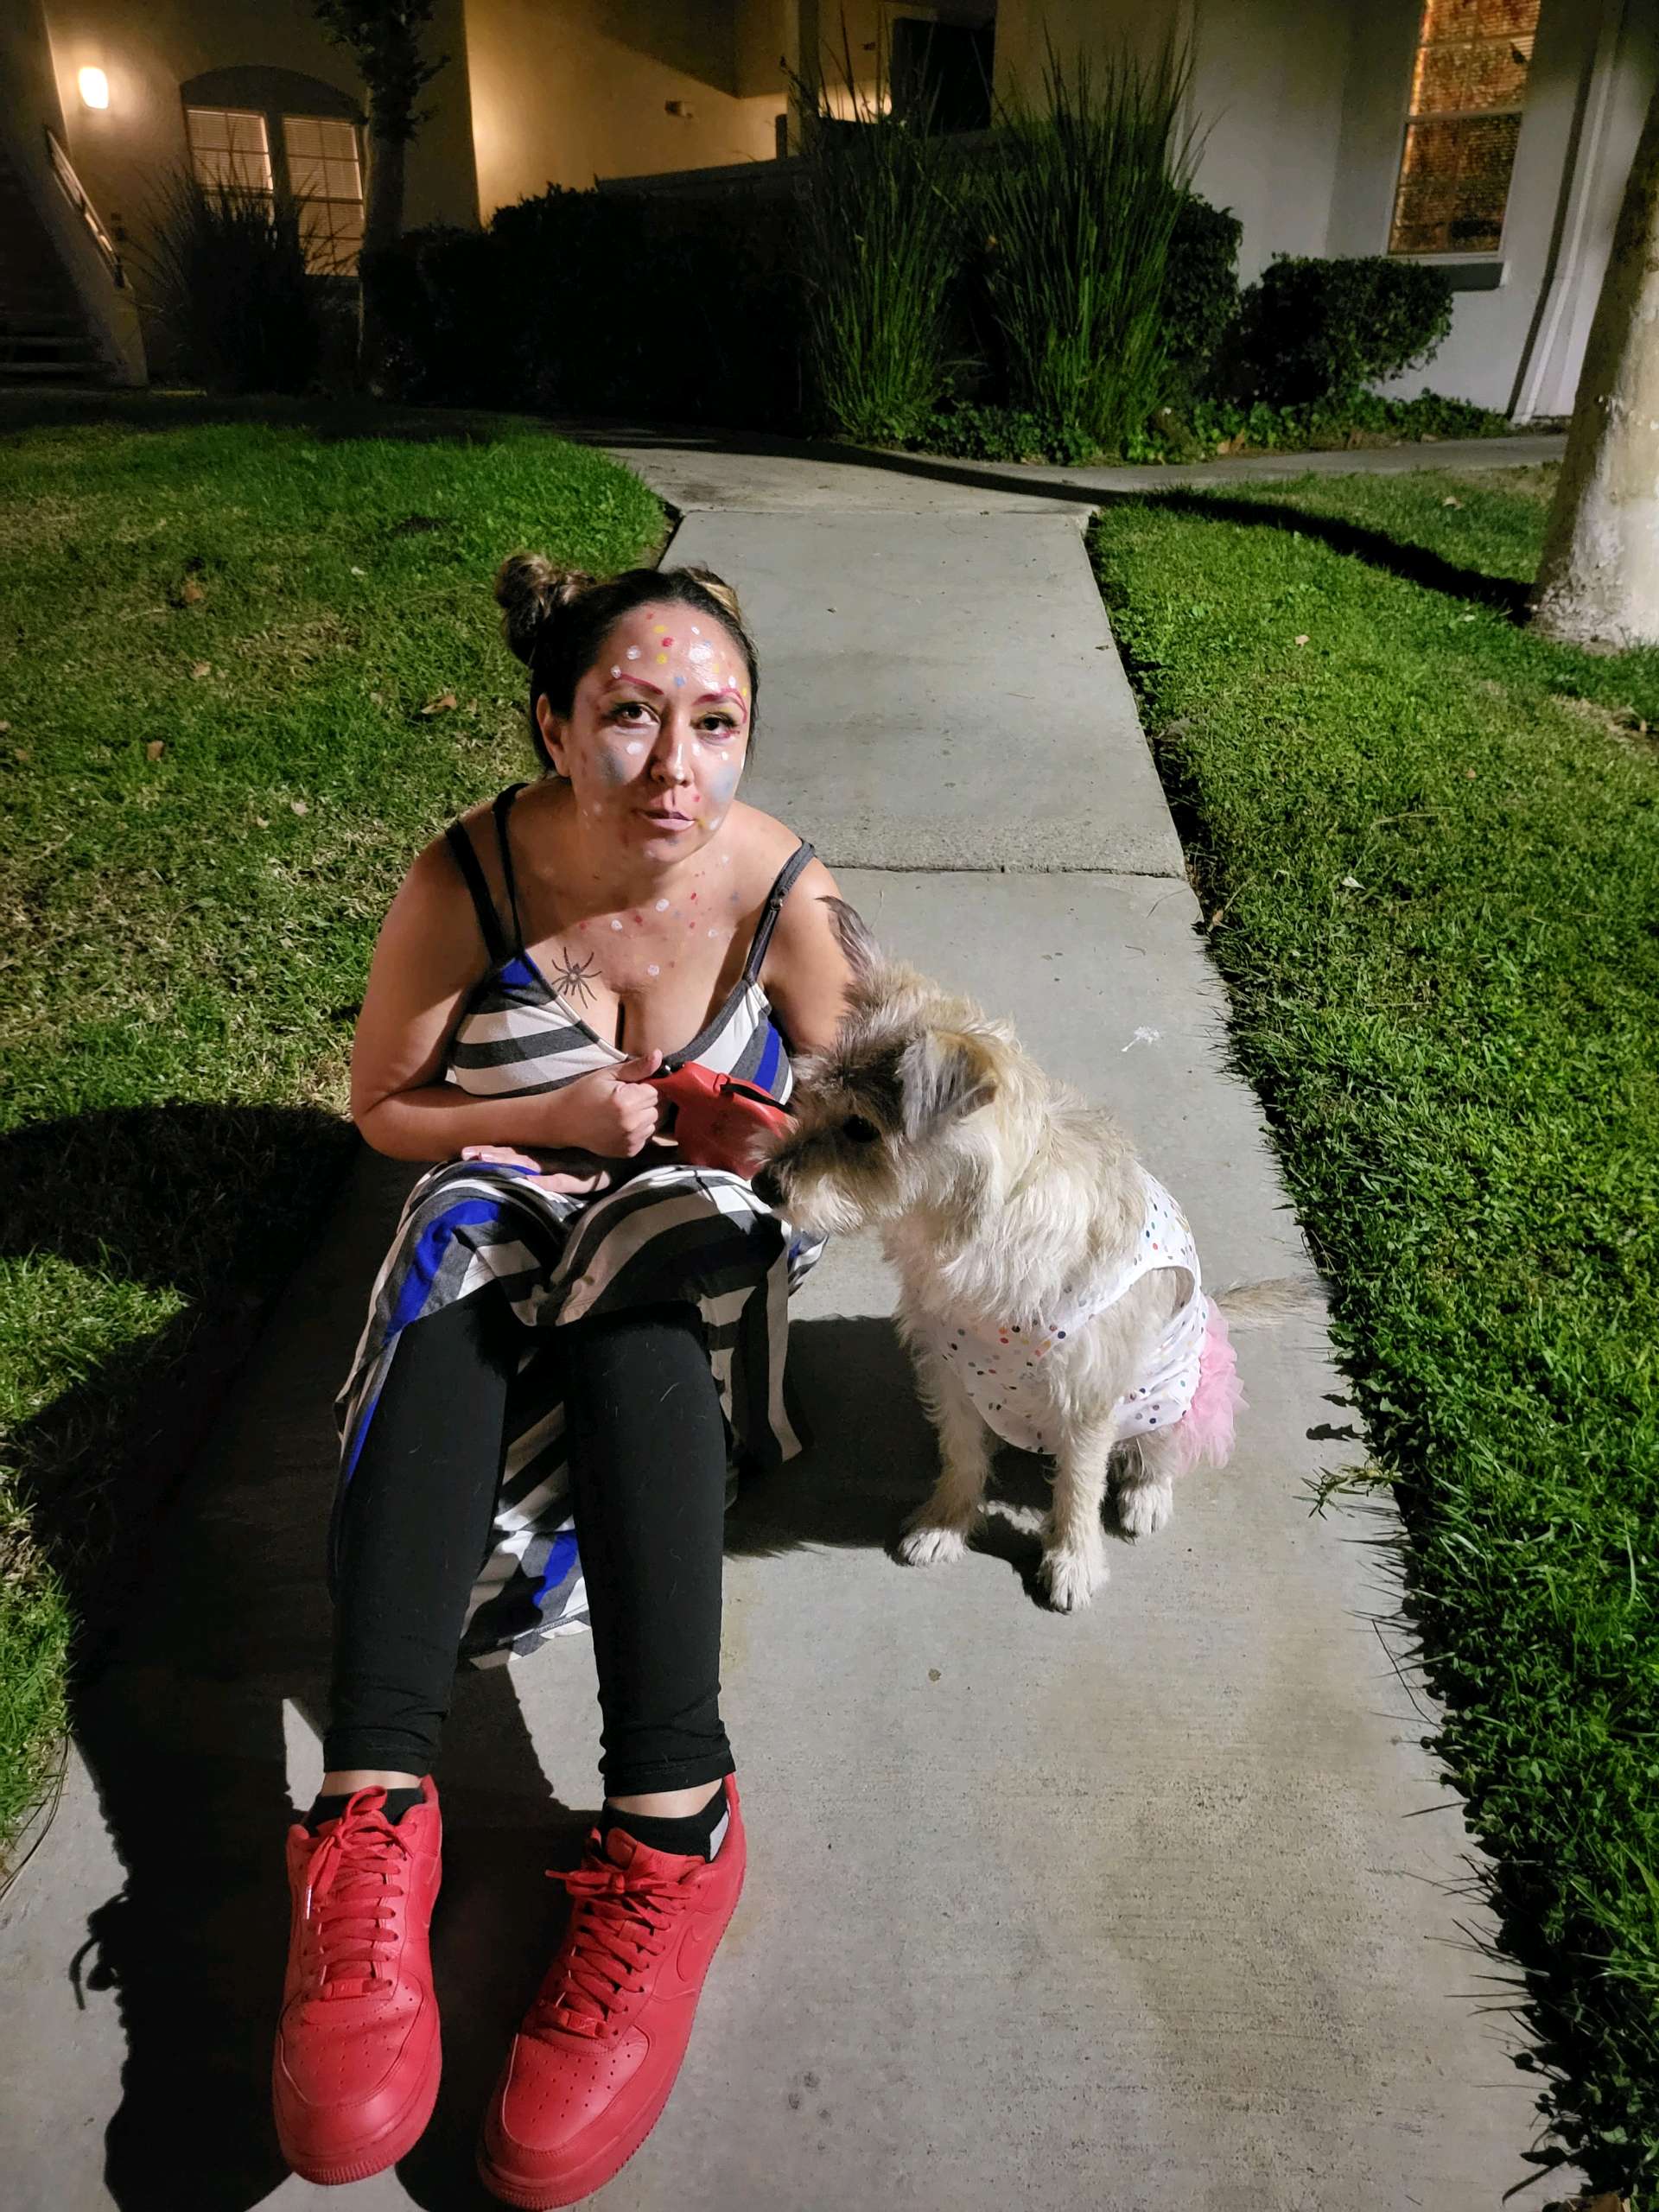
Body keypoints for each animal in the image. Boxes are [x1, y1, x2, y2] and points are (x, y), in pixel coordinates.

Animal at [753, 902, 1306, 1612]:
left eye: (860, 1129)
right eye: (810, 1100)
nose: (765, 1183)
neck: (972, 1230)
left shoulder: (1090, 1400)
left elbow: (1078, 1489)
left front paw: (1072, 1560)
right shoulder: (949, 1373)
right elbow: (963, 1457)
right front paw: (947, 1523)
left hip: (1172, 1389)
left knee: (1160, 1450)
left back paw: (1146, 1495)